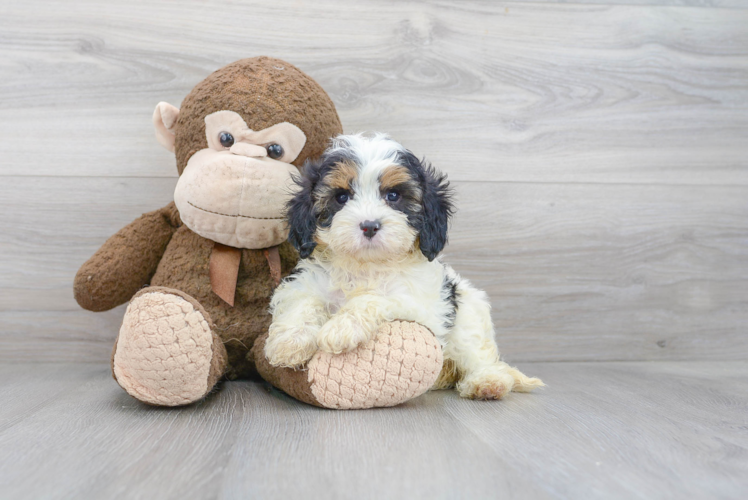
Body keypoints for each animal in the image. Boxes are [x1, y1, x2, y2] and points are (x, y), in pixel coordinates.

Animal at [264, 133, 544, 398]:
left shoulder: (421, 305)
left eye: (393, 195)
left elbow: (376, 298)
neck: (365, 266)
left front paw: (342, 327)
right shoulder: (305, 283)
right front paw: (289, 341)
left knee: (479, 355)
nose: (369, 225)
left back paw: (487, 383)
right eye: (341, 197)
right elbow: (304, 301)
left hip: (468, 319)